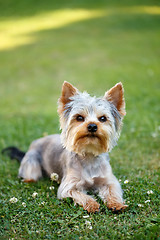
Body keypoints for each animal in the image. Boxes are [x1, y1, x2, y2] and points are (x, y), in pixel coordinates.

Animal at [2, 82, 127, 212]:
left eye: (103, 118)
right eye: (79, 117)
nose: (92, 126)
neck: (88, 154)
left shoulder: (109, 181)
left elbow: (113, 190)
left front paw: (117, 204)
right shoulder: (68, 187)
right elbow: (81, 195)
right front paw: (92, 204)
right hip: (31, 161)